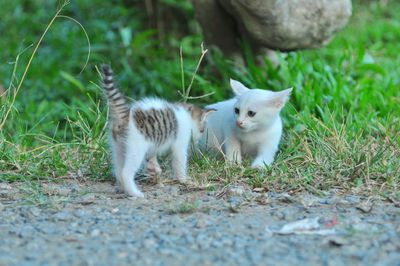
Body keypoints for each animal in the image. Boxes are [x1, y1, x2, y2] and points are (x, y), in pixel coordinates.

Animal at [100, 65, 214, 197]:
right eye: (202, 130)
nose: (197, 140)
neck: (186, 114)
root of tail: (126, 115)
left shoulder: (153, 145)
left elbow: (152, 157)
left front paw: (155, 168)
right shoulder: (179, 144)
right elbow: (180, 163)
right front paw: (184, 179)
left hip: (119, 146)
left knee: (118, 169)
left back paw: (123, 188)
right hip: (136, 148)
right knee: (125, 172)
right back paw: (135, 193)